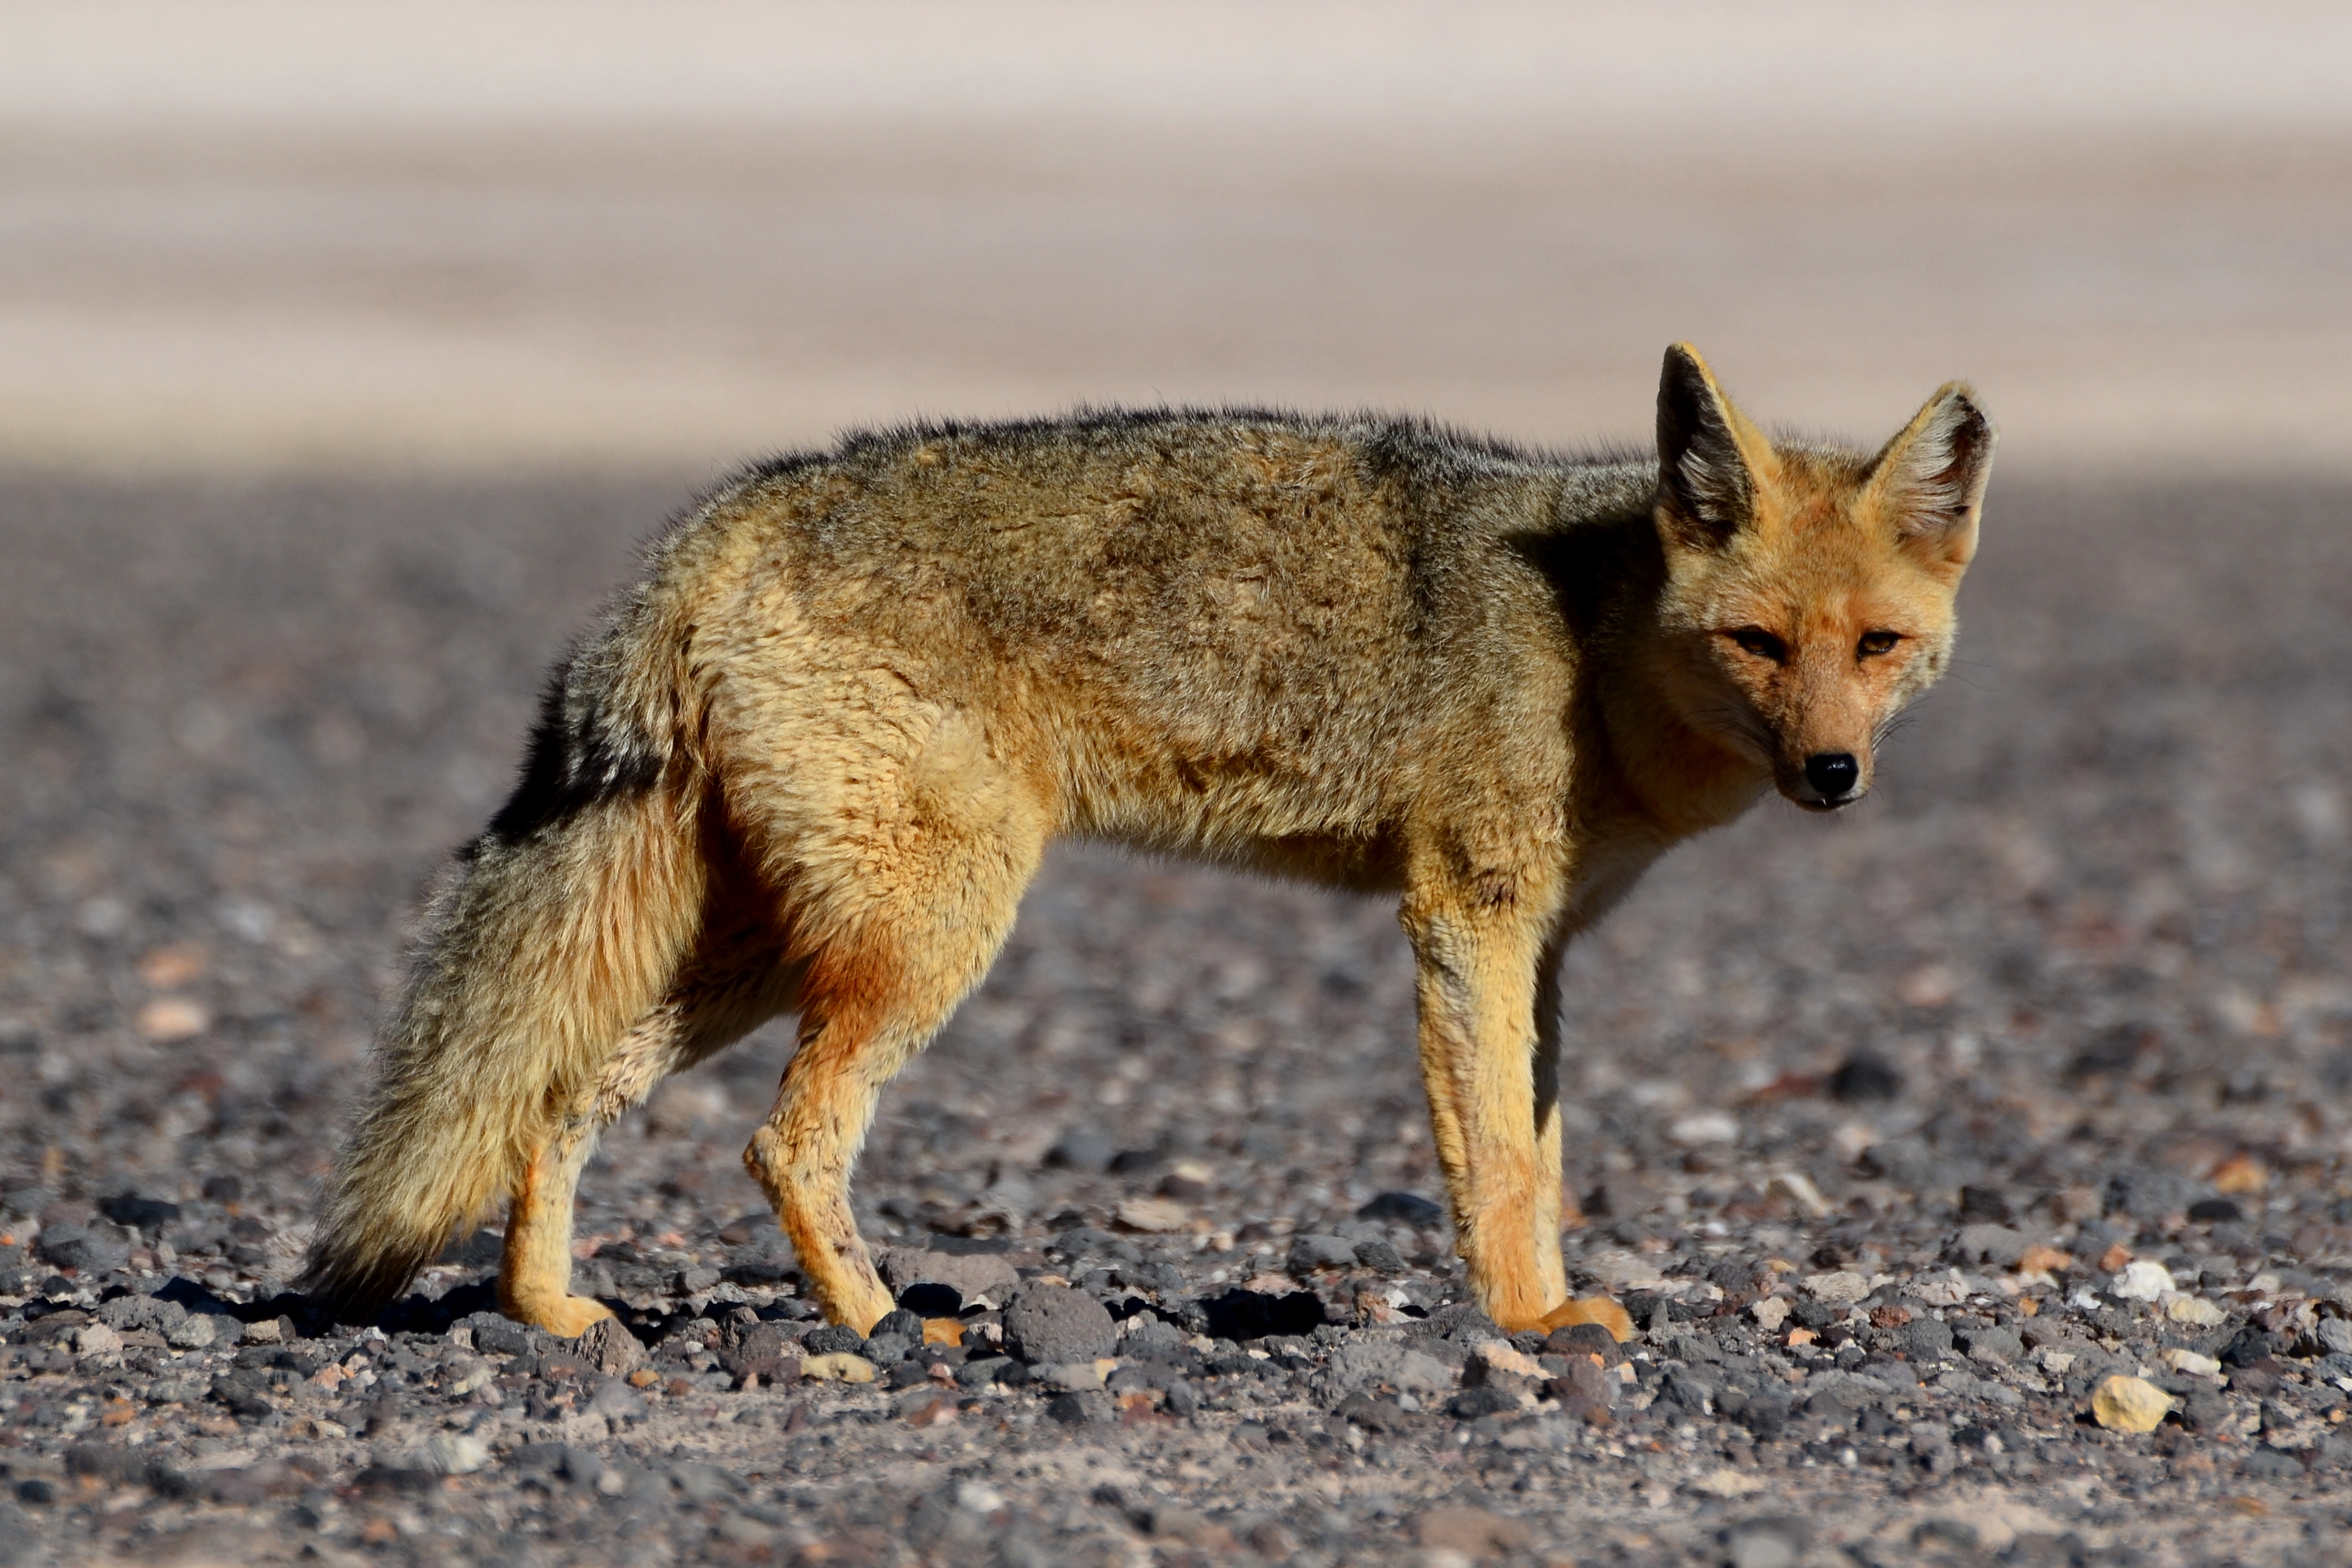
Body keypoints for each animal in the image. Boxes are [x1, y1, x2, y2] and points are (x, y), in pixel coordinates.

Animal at [300, 344, 1994, 1338]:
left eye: (1880, 645)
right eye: (1757, 642)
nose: (1833, 772)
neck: (1594, 630)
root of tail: (734, 507)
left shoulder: (1547, 943)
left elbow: (1542, 1148)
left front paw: (1556, 1300)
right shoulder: (1465, 916)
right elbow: (1499, 1159)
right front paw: (1526, 1325)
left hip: (772, 944)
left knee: (555, 1090)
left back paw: (550, 1310)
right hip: (920, 937)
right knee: (786, 1137)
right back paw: (875, 1329)